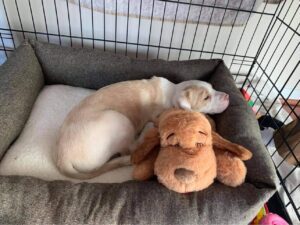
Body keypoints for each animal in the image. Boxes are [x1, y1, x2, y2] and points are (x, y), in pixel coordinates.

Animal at [56, 77, 229, 179]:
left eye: (213, 88)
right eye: (206, 98)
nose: (228, 96)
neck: (173, 92)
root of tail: (62, 157)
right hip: (118, 119)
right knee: (131, 148)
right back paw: (145, 130)